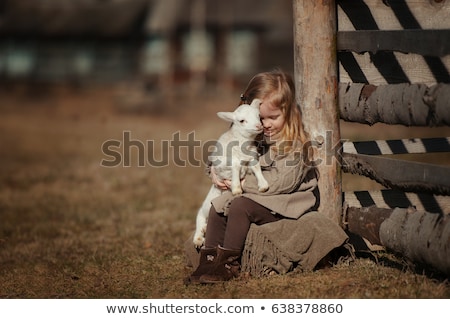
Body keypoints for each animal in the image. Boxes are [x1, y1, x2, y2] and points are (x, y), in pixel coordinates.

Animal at [192, 99, 268, 249]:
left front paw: (263, 185)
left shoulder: (251, 156)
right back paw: (198, 238)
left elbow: (256, 167)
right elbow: (235, 164)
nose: (258, 126)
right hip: (205, 208)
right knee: (199, 219)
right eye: (242, 121)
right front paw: (236, 189)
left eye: (259, 116)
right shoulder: (222, 164)